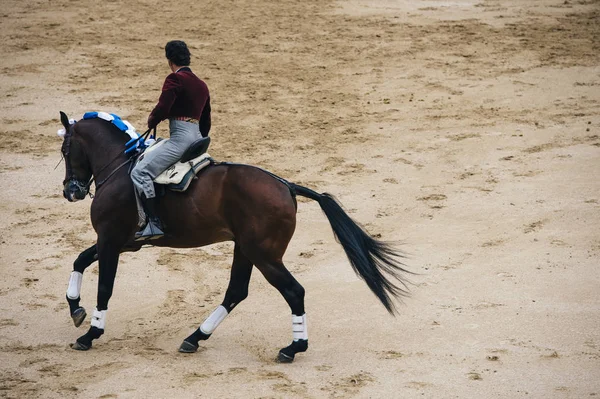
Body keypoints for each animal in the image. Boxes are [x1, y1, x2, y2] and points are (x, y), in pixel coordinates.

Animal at [58, 111, 410, 364]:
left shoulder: (110, 240)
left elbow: (104, 287)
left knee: (293, 291)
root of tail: (287, 186)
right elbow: (80, 260)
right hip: (246, 249)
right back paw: (195, 338)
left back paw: (292, 348)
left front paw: (90, 334)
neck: (121, 168)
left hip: (264, 256)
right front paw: (76, 309)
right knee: (236, 291)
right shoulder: (123, 243)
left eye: (65, 149)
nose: (70, 191)